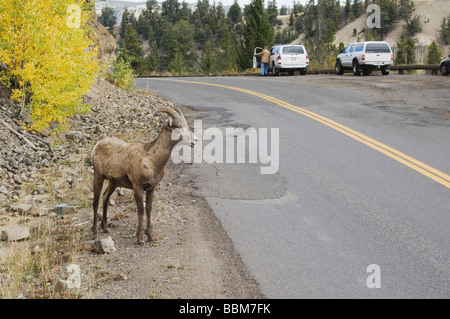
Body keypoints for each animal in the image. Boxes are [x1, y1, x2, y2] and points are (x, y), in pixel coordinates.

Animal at [90, 109, 196, 246]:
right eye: (178, 126)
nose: (195, 140)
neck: (151, 160)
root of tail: (97, 145)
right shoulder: (137, 187)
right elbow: (140, 210)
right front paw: (140, 239)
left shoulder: (151, 189)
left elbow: (149, 209)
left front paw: (151, 236)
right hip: (98, 176)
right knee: (95, 202)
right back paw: (95, 233)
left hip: (113, 183)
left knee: (105, 197)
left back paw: (106, 228)